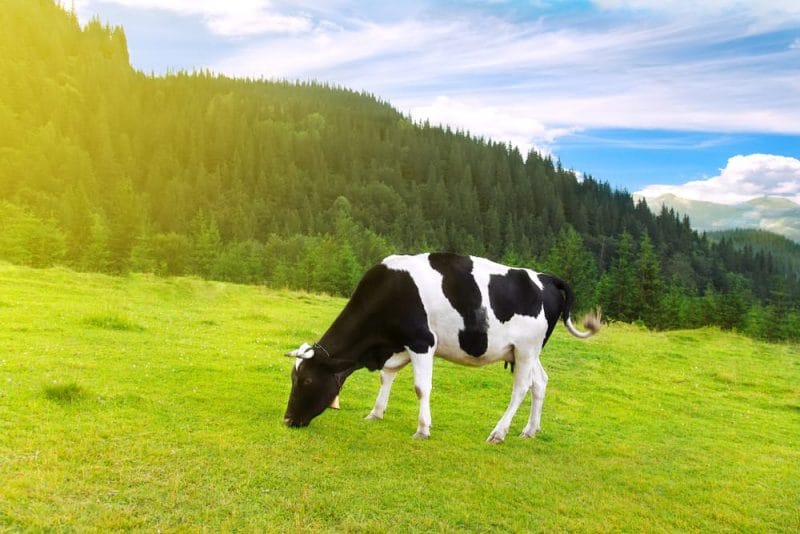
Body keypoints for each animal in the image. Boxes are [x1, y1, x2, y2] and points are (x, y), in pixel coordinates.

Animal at [283, 252, 600, 443]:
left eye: (306, 380)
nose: (287, 419)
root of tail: (545, 277)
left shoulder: (422, 341)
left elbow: (421, 387)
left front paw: (423, 428)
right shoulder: (401, 343)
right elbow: (387, 375)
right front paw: (375, 412)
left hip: (526, 349)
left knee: (521, 388)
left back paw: (499, 432)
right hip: (528, 352)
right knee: (540, 382)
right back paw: (530, 430)